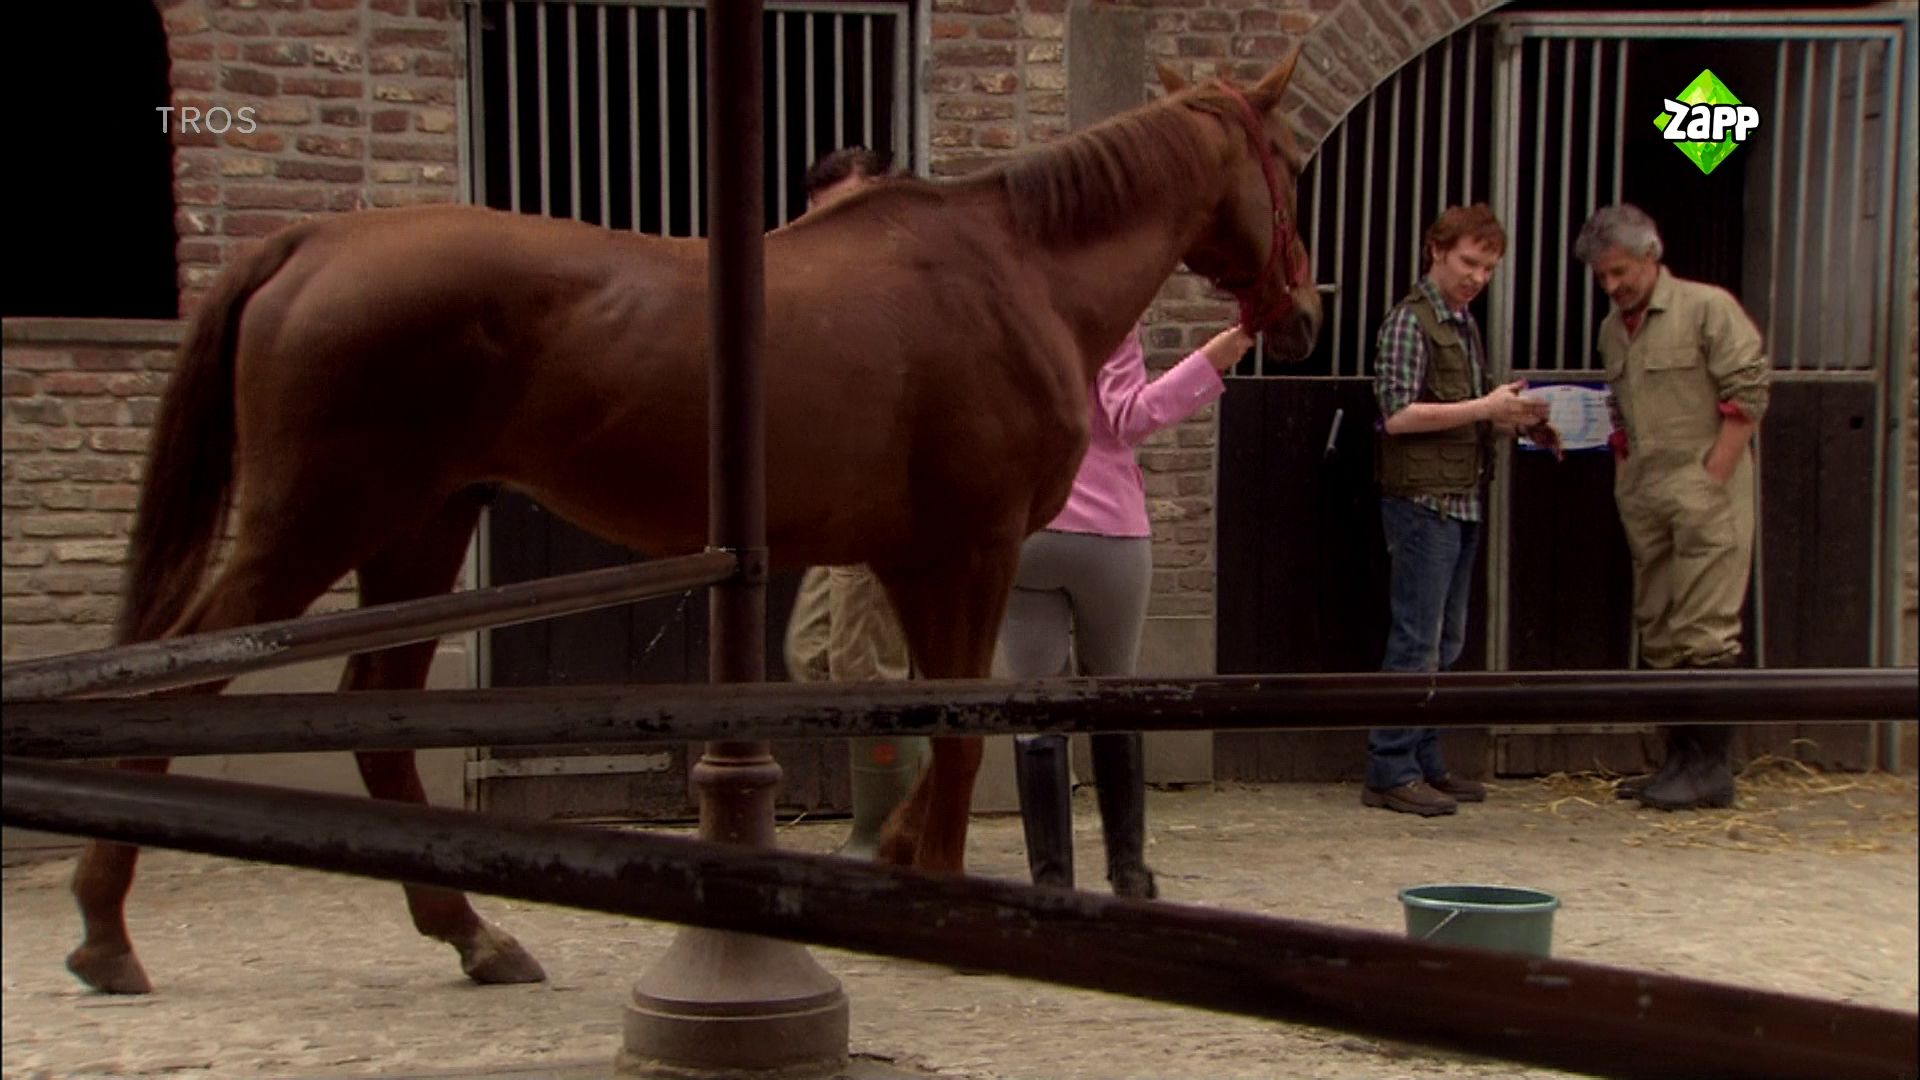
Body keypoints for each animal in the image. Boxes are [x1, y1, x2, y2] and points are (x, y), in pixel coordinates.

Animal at [65, 54, 1320, 994]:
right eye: (1294, 170)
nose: (1306, 313)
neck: (1010, 272)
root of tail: (314, 245)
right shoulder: (974, 549)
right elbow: (962, 725)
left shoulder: (913, 559)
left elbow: (921, 720)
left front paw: (902, 859)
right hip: (316, 524)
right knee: (178, 681)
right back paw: (106, 929)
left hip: (416, 530)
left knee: (377, 716)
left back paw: (474, 935)